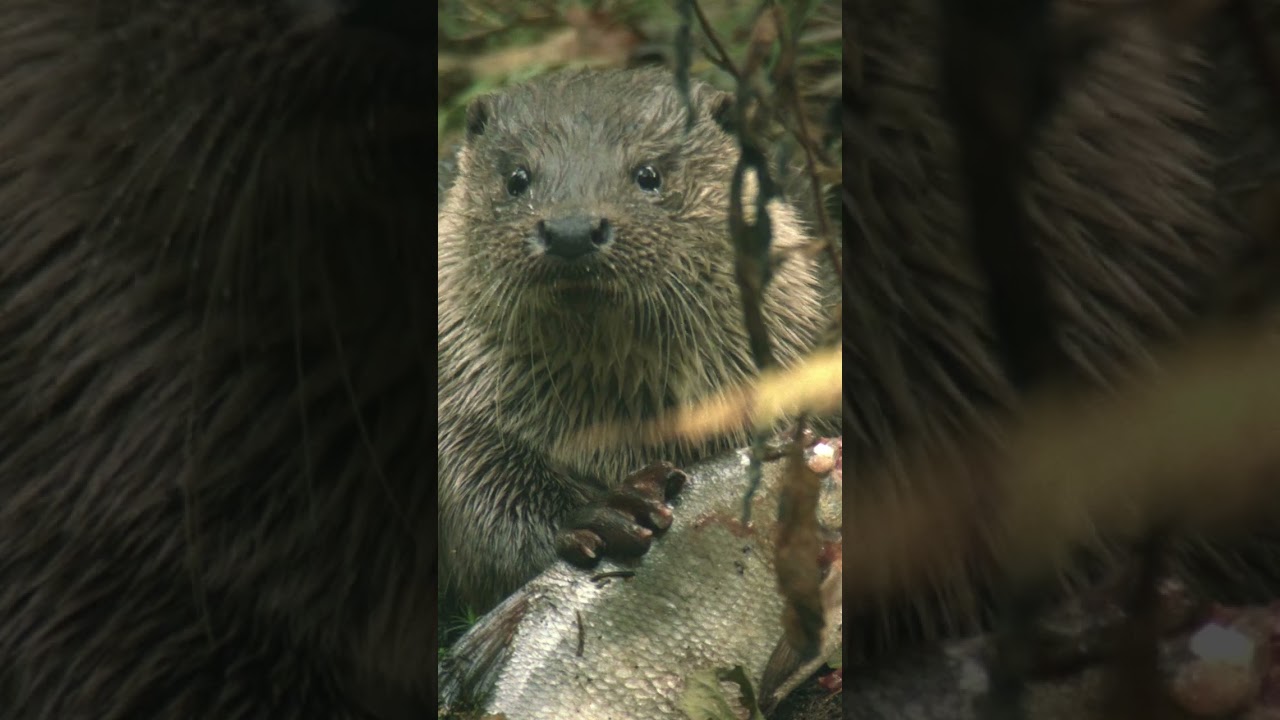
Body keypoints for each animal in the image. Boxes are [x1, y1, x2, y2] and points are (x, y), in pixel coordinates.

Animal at [436, 68, 833, 617]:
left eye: (649, 174)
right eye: (517, 179)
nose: (572, 229)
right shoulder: (458, 395)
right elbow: (472, 502)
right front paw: (599, 513)